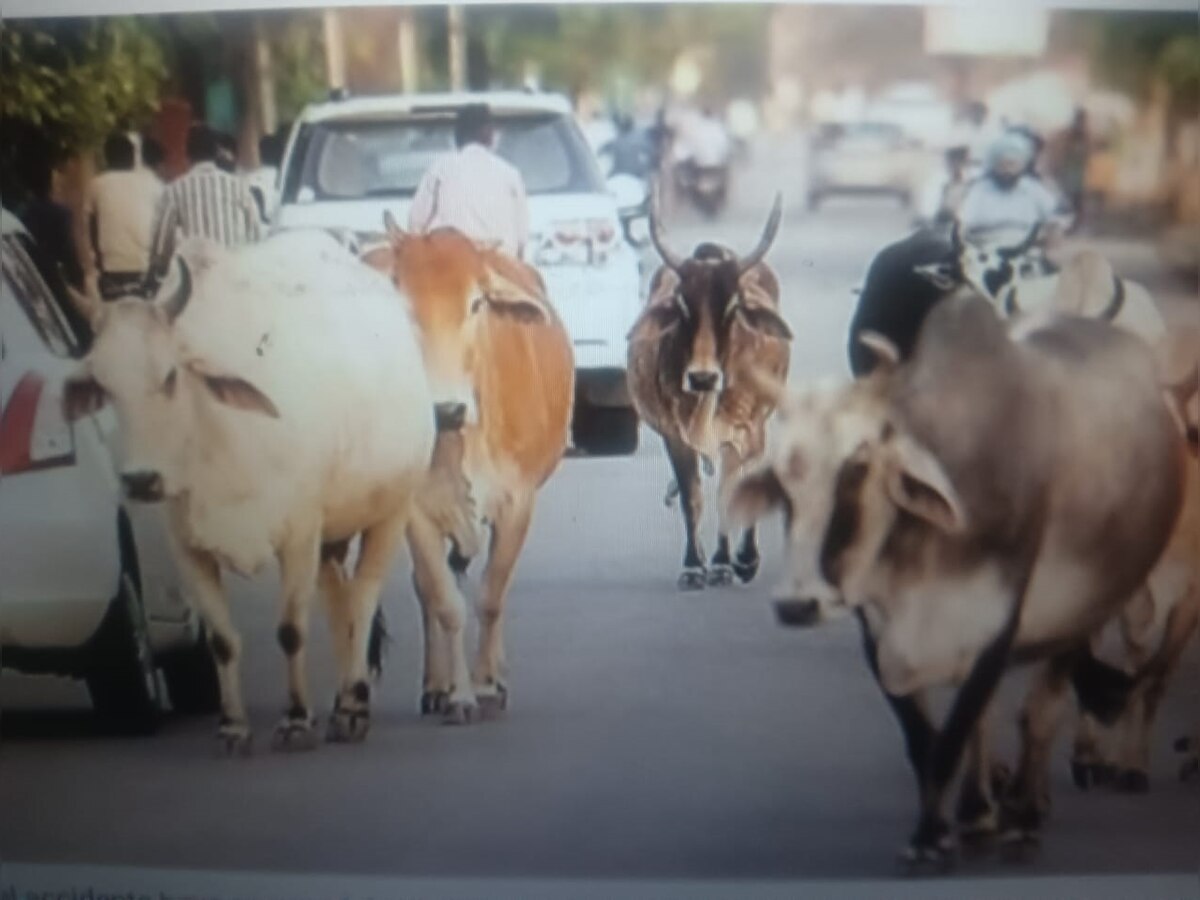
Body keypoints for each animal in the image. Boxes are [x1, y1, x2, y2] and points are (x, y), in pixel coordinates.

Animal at [62, 232, 436, 753]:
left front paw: (296, 721)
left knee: (361, 602)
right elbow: (222, 640)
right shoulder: (189, 549)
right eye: (103, 384)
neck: (217, 438)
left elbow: (291, 631)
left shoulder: (299, 536)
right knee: (340, 604)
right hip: (332, 534)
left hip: (392, 511)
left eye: (170, 376)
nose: (140, 479)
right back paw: (343, 703)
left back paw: (352, 708)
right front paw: (233, 727)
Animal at [376, 220, 578, 724]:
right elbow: (445, 601)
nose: (444, 408)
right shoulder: (416, 512)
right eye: (402, 302)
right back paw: (436, 685)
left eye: (476, 303)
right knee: (426, 591)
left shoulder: (518, 503)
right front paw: (461, 695)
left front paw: (487, 685)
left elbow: (491, 595)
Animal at [628, 192, 796, 592]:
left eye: (733, 306)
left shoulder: (746, 431)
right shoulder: (675, 436)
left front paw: (732, 562)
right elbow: (693, 498)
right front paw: (694, 565)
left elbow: (729, 493)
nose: (703, 377)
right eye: (681, 304)